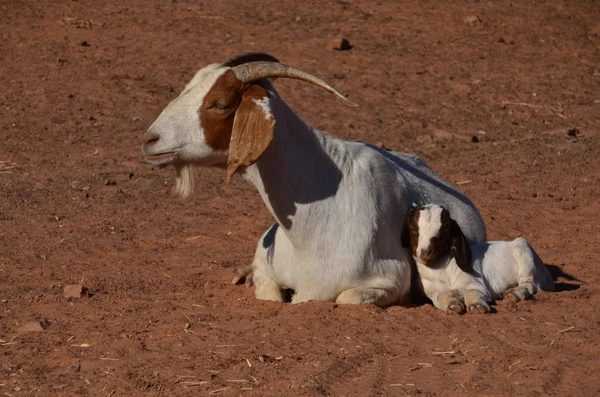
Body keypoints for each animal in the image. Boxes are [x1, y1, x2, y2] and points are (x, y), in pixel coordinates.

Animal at [142, 53, 488, 306]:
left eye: (220, 104)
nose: (150, 140)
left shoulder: (388, 281)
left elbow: (345, 298)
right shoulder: (270, 267)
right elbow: (269, 293)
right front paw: (251, 278)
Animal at [406, 204, 556, 312]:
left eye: (443, 232)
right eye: (413, 231)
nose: (426, 252)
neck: (443, 270)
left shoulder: (477, 285)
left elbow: (473, 292)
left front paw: (476, 305)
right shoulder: (432, 290)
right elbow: (441, 296)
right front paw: (452, 305)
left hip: (523, 249)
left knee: (529, 283)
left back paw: (514, 294)